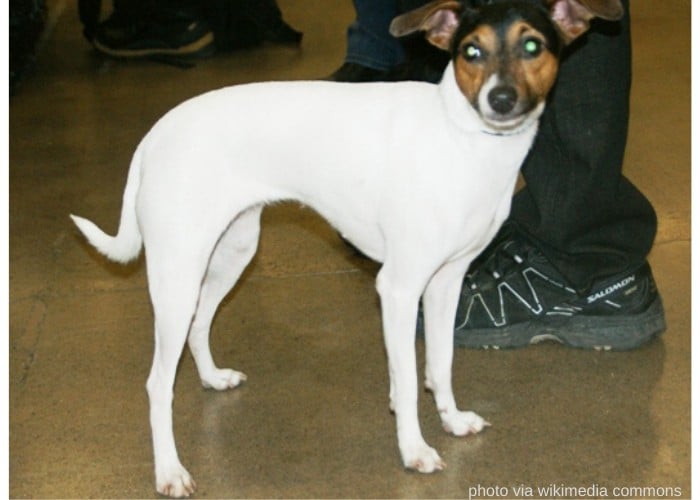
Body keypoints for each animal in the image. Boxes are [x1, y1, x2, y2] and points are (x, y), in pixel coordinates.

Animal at [71, 0, 624, 496]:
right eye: (472, 51)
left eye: (532, 47)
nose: (501, 99)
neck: (461, 137)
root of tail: (156, 134)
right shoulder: (398, 289)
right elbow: (408, 378)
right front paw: (414, 449)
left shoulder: (446, 283)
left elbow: (439, 363)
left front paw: (450, 419)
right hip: (178, 275)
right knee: (157, 384)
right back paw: (169, 471)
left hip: (231, 254)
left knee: (199, 324)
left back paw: (211, 378)